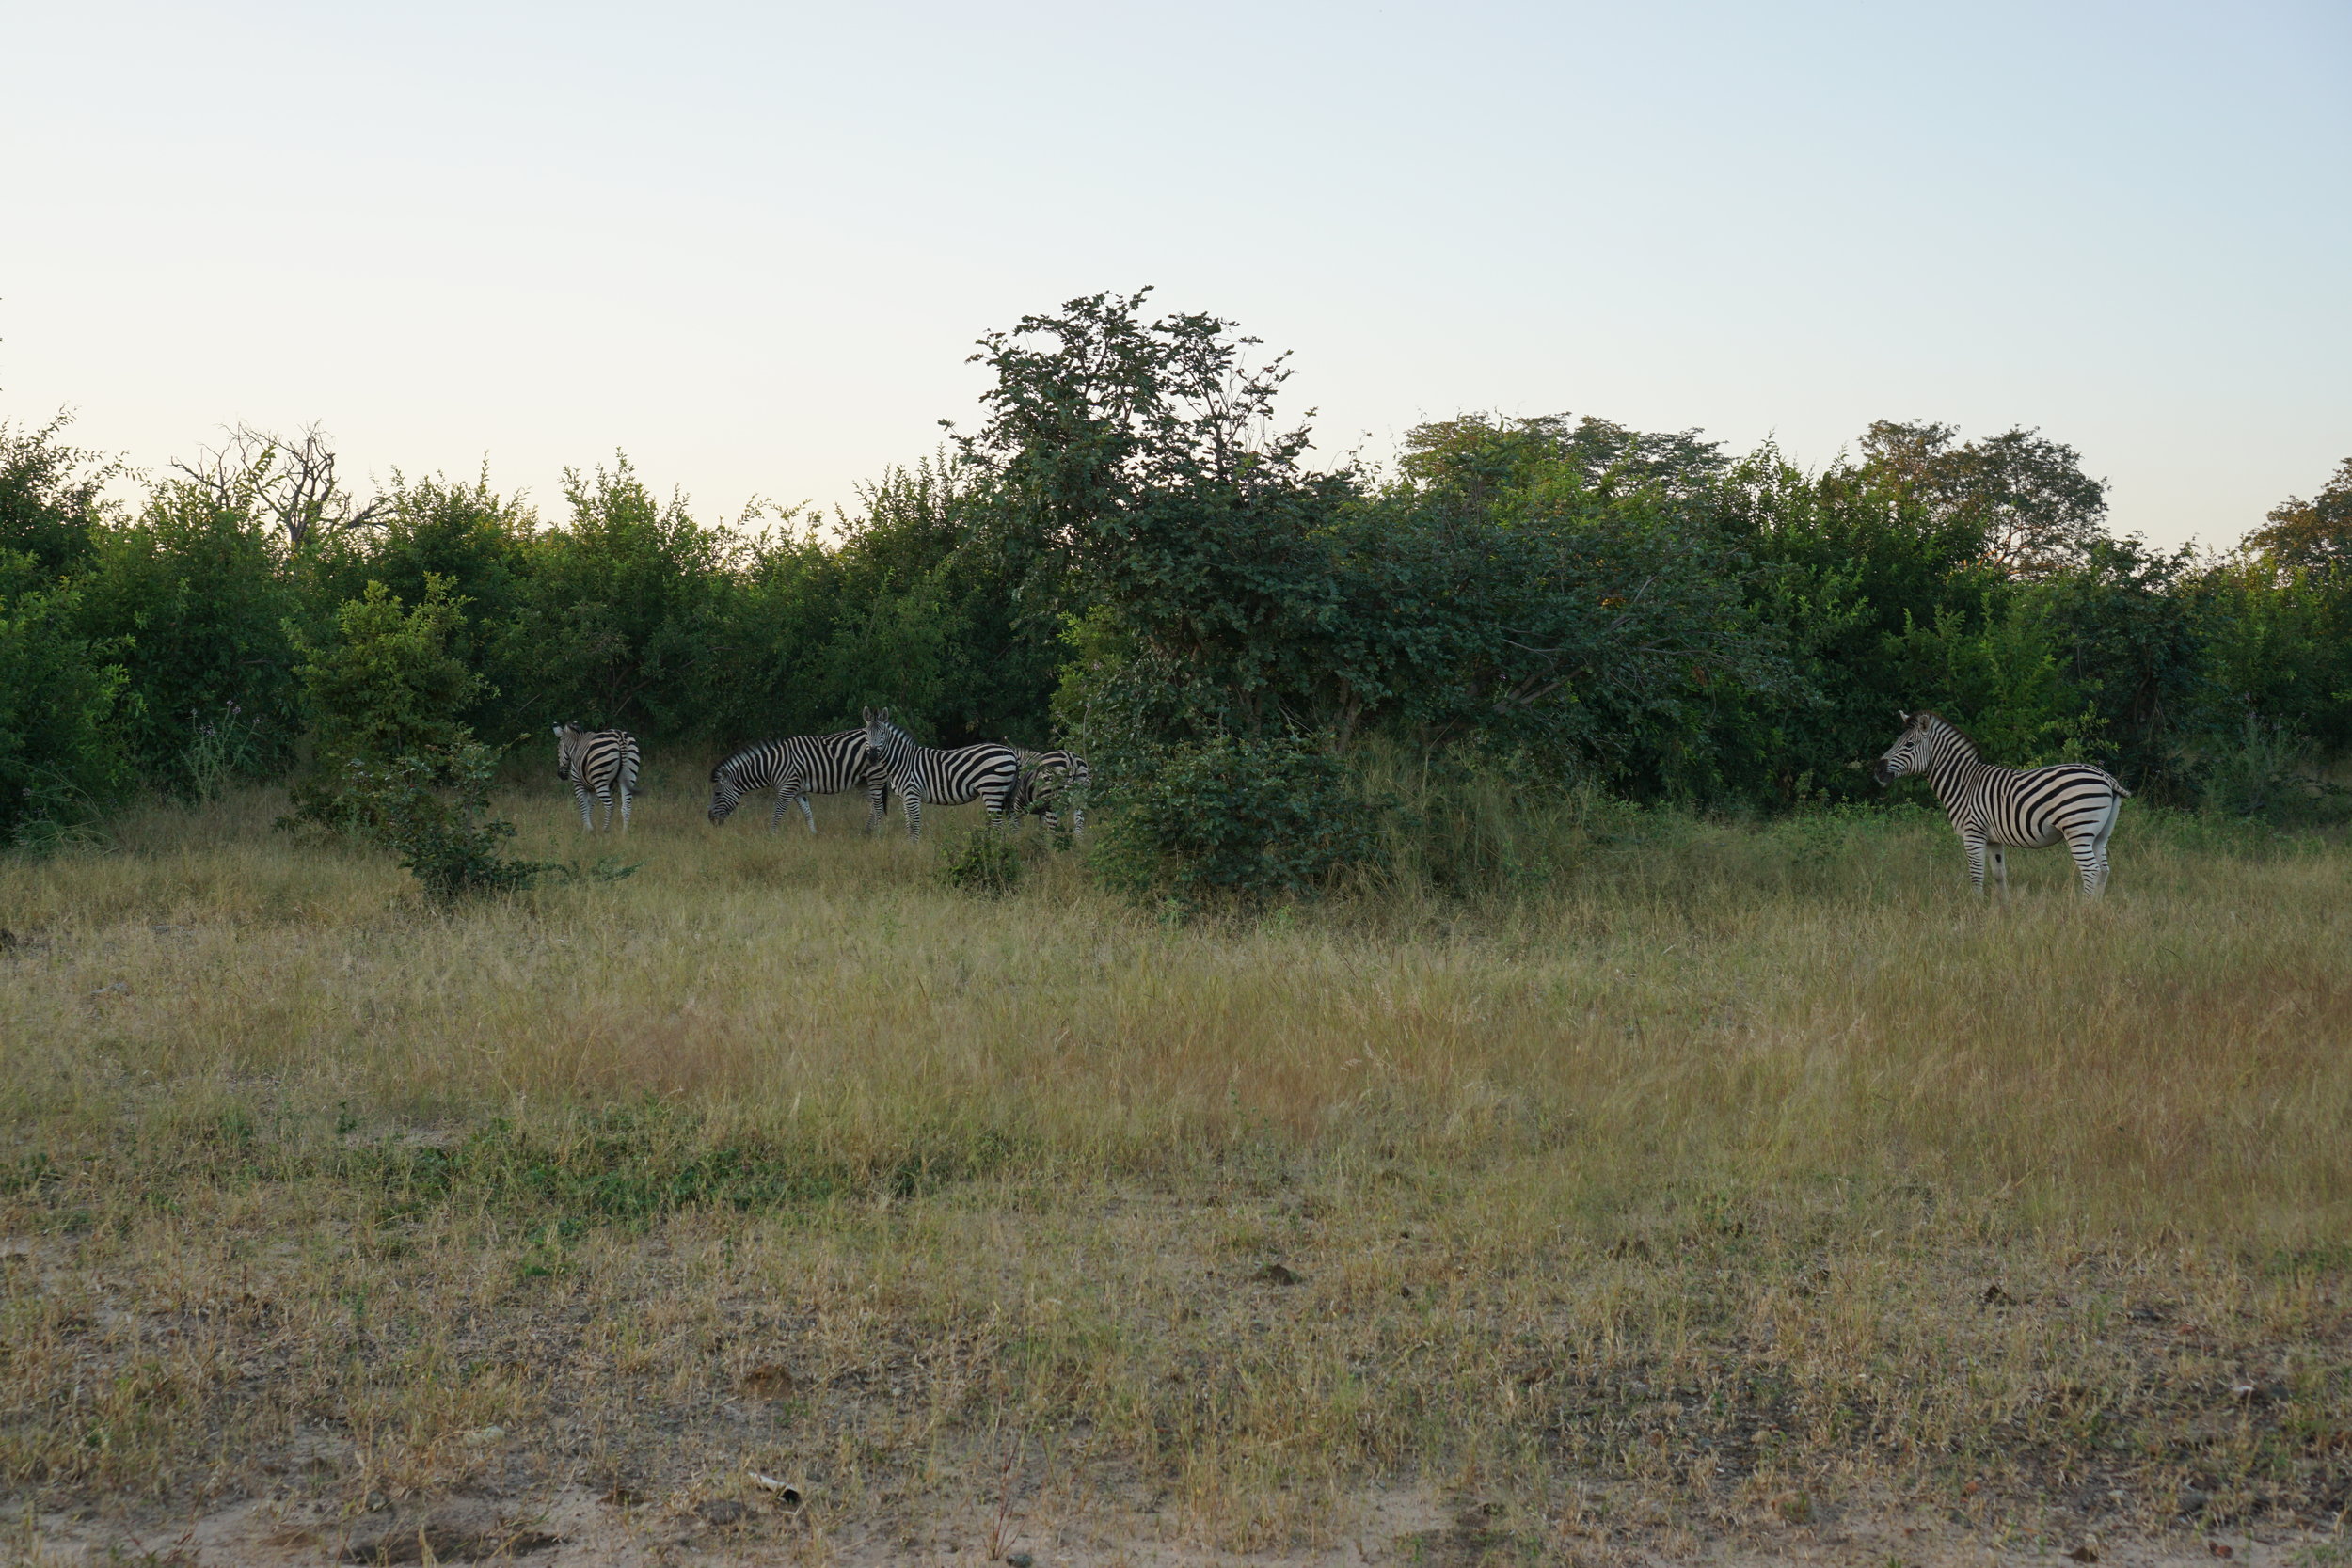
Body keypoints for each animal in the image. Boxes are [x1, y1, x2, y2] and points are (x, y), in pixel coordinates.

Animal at [707, 729, 893, 832]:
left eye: (717, 793)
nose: (710, 819)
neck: (772, 765)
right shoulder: (798, 791)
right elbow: (807, 813)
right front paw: (814, 835)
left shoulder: (787, 788)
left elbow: (777, 813)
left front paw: (771, 836)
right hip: (862, 781)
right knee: (873, 805)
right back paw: (867, 831)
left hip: (874, 777)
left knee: (877, 806)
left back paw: (875, 832)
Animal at [860, 707, 1021, 839]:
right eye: (866, 734)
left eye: (882, 734)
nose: (872, 757)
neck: (901, 761)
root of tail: (1011, 752)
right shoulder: (904, 798)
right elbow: (908, 827)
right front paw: (908, 848)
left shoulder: (912, 795)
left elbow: (915, 826)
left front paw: (914, 851)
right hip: (1007, 794)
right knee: (1013, 825)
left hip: (992, 790)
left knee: (998, 826)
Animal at [1873, 710, 2129, 896]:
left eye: (1908, 745)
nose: (1877, 770)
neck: (1963, 783)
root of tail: (2105, 777)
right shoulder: (1993, 839)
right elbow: (1999, 875)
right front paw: (2004, 912)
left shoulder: (1973, 834)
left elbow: (1976, 876)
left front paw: (1977, 910)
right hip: (2101, 834)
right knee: (2103, 870)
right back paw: (2095, 909)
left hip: (2078, 829)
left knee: (2091, 870)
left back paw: (2083, 909)